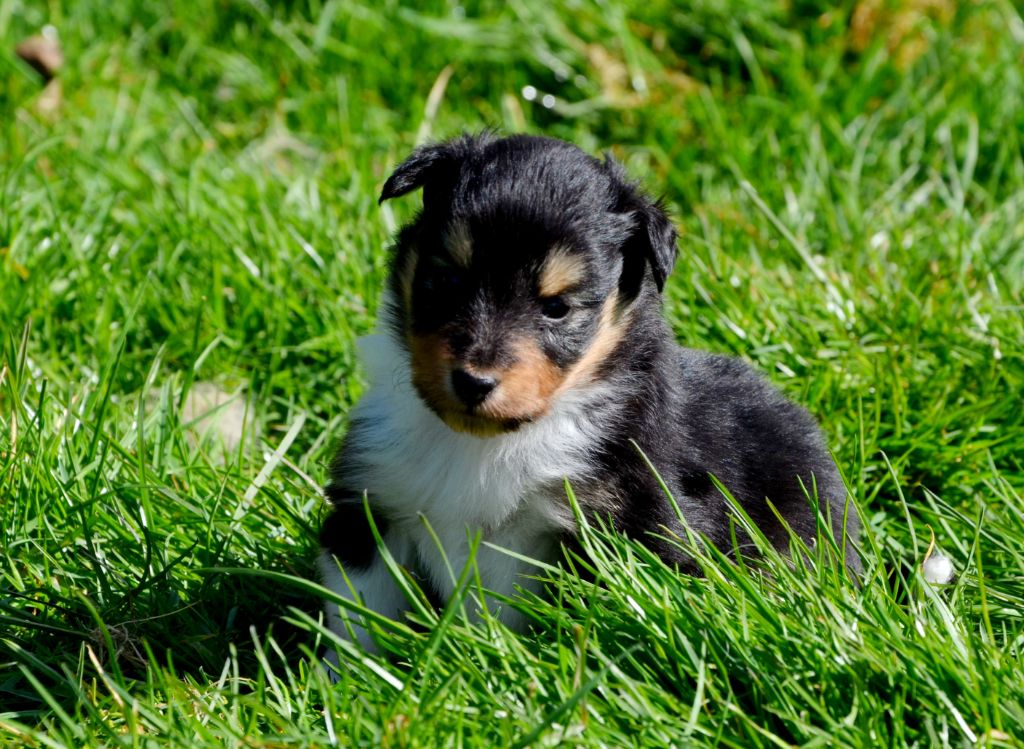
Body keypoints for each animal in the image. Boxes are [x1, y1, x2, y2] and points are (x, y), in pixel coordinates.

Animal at [317, 135, 856, 655]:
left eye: (557, 308)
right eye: (446, 280)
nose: (473, 382)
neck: (487, 443)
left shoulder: (636, 525)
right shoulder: (373, 506)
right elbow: (354, 615)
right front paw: (339, 680)